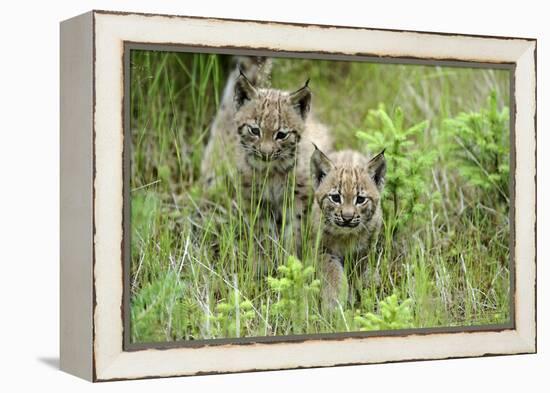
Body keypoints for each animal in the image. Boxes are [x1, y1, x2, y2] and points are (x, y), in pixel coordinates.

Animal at [312, 145, 386, 304]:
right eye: (335, 198)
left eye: (360, 199)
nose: (347, 218)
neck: (346, 235)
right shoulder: (323, 249)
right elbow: (331, 270)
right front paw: (334, 299)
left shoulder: (366, 249)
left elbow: (359, 270)